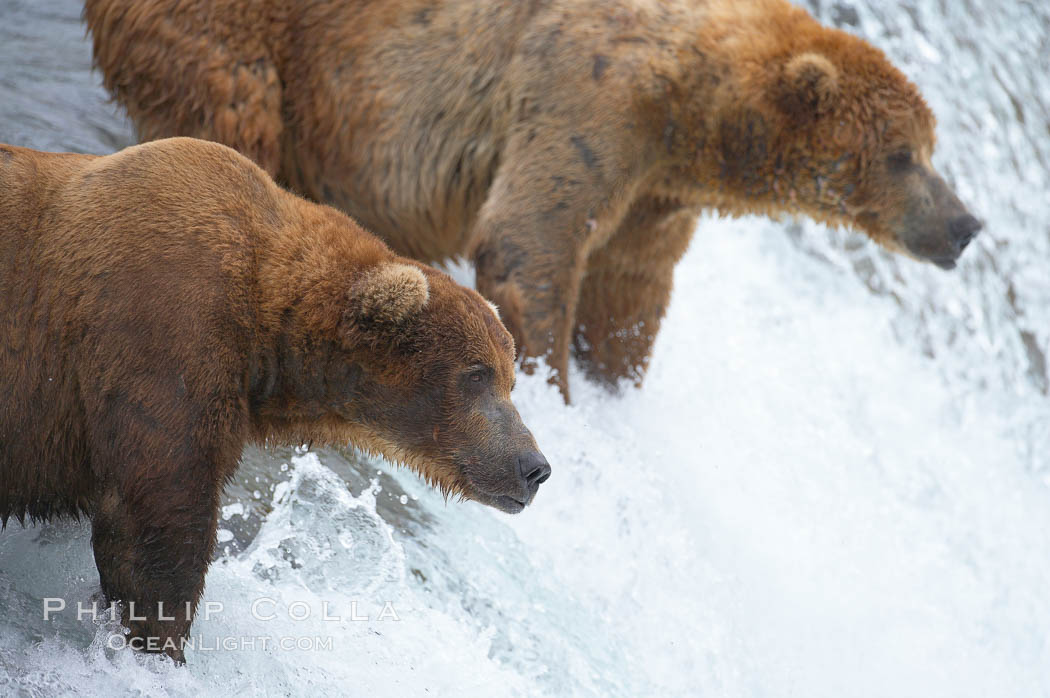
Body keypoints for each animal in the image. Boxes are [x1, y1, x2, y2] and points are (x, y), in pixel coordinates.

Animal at [0, 134, 550, 659]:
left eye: (509, 380)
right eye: (476, 375)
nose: (534, 467)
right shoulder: (161, 335)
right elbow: (156, 522)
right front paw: (161, 647)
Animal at [84, 0, 982, 403]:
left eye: (929, 147)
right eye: (902, 154)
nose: (967, 224)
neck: (692, 109)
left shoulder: (655, 193)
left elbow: (630, 293)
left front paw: (613, 382)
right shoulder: (585, 99)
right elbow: (531, 244)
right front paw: (554, 385)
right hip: (239, 43)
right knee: (232, 123)